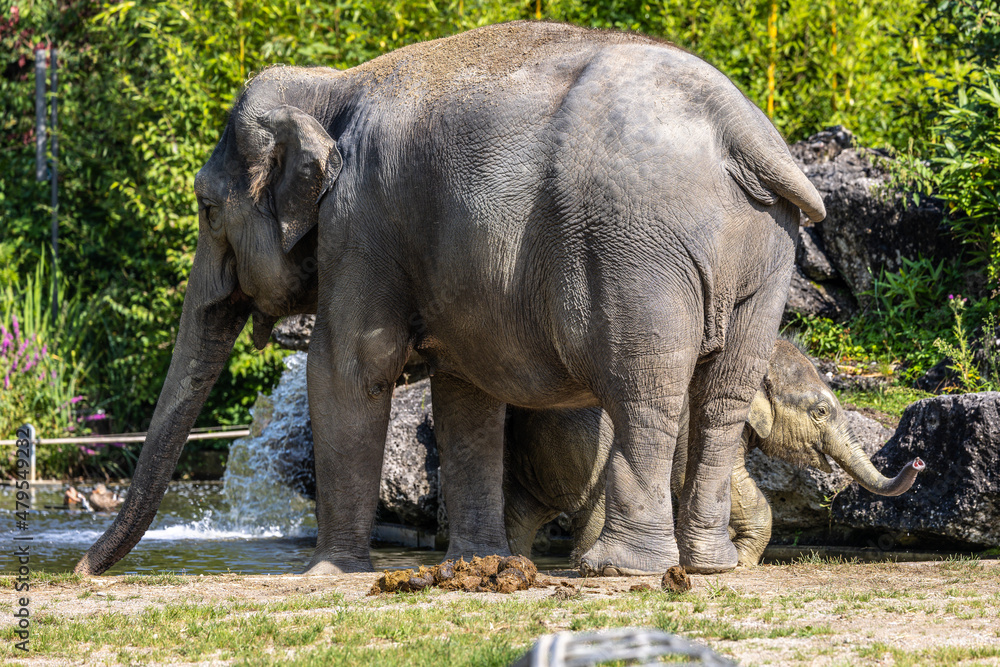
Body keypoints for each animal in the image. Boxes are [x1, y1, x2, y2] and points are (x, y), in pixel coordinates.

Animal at [75, 21, 826, 577]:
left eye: (205, 208)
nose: (83, 571)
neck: (332, 84)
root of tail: (740, 127)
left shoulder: (363, 221)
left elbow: (348, 367)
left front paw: (329, 573)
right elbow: (466, 391)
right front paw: (477, 563)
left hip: (635, 249)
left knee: (644, 390)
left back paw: (618, 569)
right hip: (766, 249)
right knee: (723, 395)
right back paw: (709, 566)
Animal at [504, 339, 925, 566]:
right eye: (820, 412)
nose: (919, 460)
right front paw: (741, 561)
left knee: (523, 509)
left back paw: (515, 564)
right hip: (578, 438)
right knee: (590, 506)